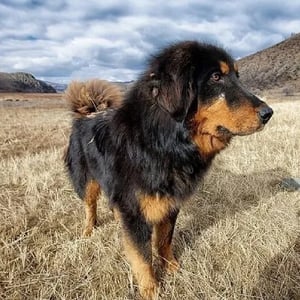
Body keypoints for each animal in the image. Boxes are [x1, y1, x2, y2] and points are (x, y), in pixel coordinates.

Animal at [64, 41, 274, 298]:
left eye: (237, 76)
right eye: (216, 77)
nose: (268, 113)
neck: (161, 141)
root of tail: (88, 112)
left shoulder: (169, 202)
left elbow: (164, 239)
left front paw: (172, 267)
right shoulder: (136, 212)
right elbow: (142, 257)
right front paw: (151, 289)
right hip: (86, 181)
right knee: (89, 206)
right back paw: (88, 230)